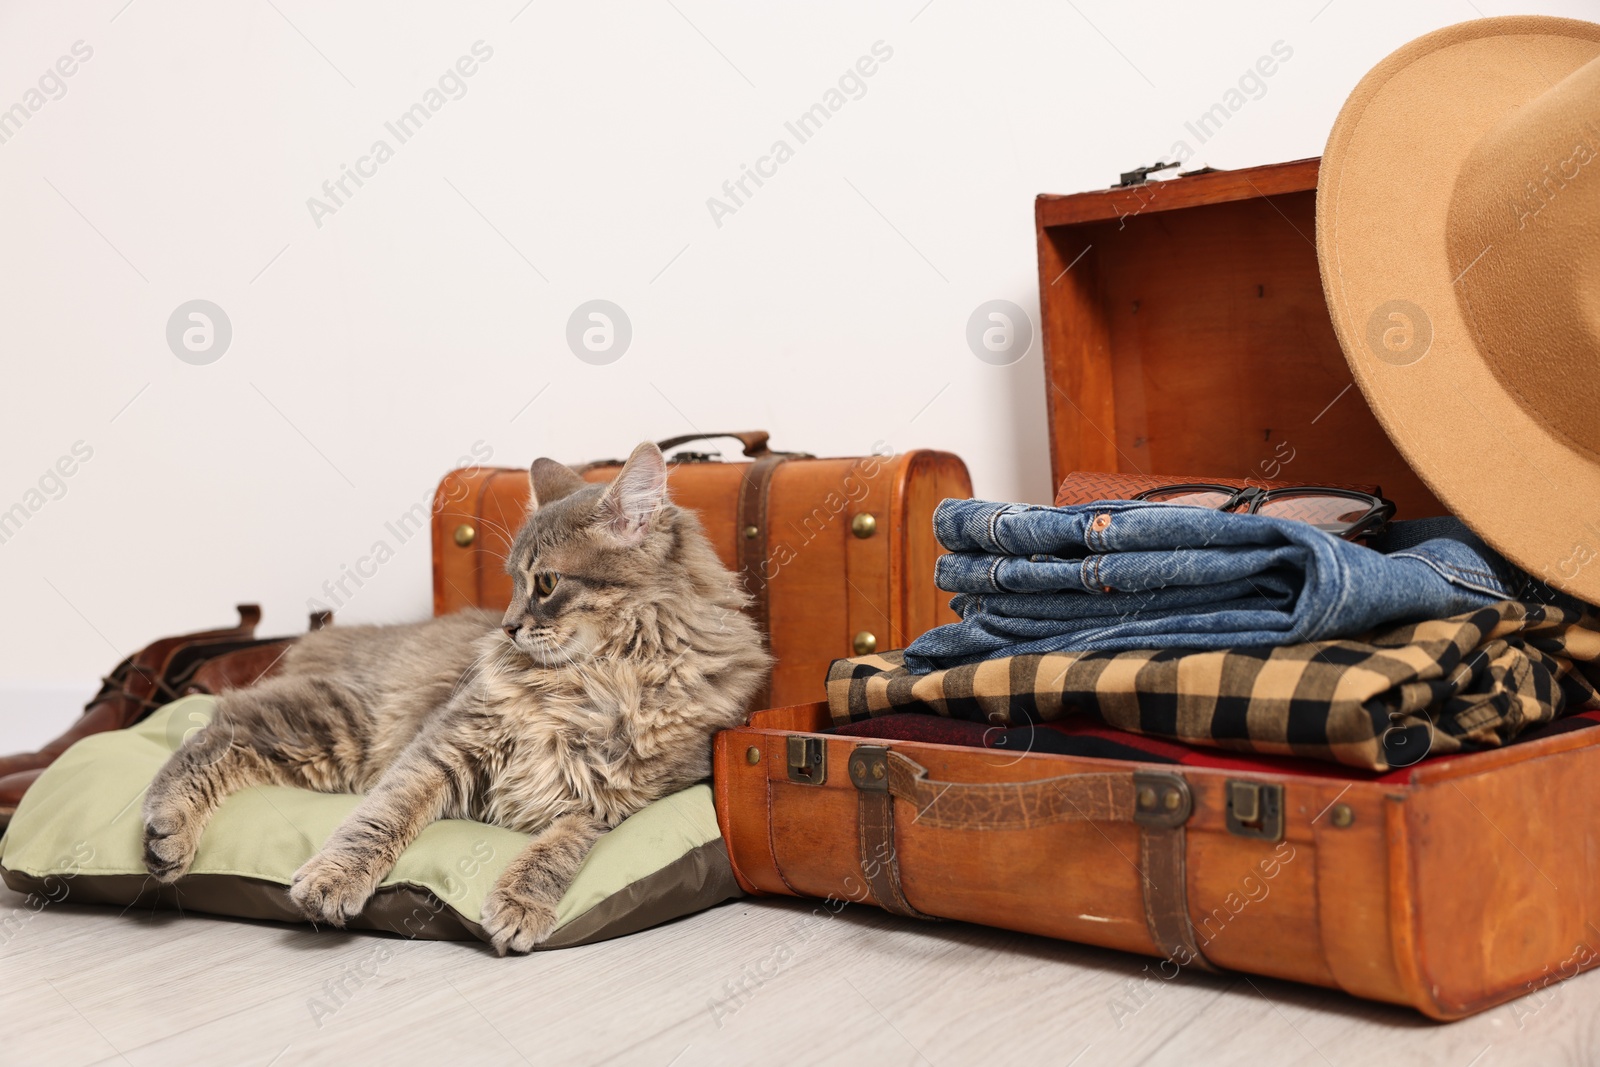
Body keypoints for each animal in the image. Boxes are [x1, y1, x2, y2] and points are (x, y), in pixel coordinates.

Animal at [134, 441, 771, 953]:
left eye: (546, 583)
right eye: (513, 582)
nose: (508, 627)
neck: (594, 681)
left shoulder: (619, 801)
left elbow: (558, 848)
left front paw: (521, 904)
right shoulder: (443, 746)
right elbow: (377, 822)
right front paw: (334, 880)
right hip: (336, 728)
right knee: (213, 734)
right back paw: (166, 834)